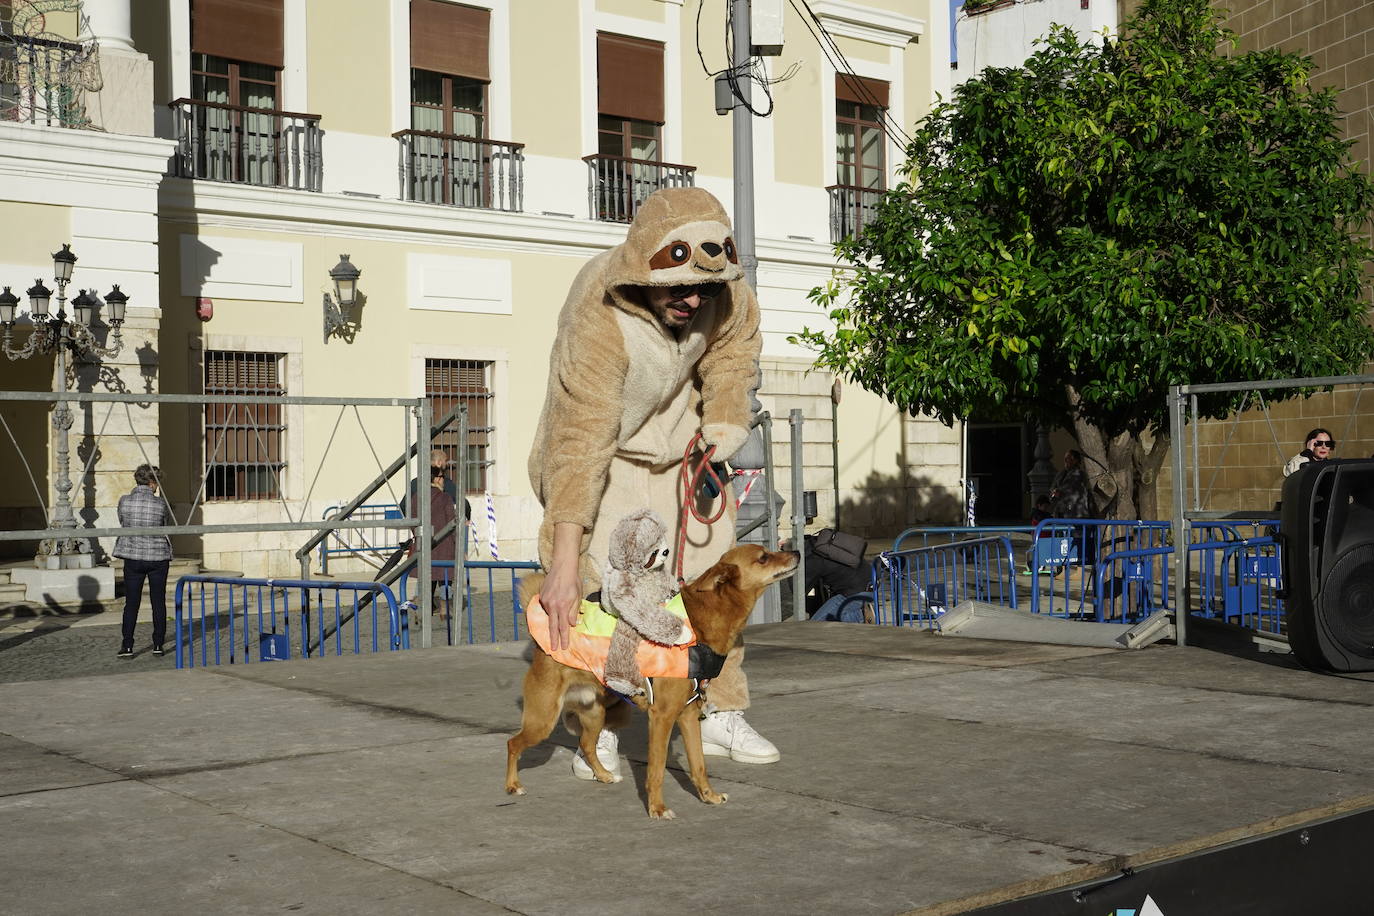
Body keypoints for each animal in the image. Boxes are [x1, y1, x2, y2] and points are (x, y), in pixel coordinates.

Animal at [508, 543, 802, 818]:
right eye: (763, 557)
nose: (797, 552)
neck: (701, 623)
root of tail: (545, 640)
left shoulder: (688, 715)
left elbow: (699, 765)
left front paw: (709, 796)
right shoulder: (662, 716)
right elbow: (657, 770)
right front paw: (657, 808)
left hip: (594, 713)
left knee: (587, 745)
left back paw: (604, 775)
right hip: (543, 719)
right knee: (513, 743)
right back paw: (513, 785)